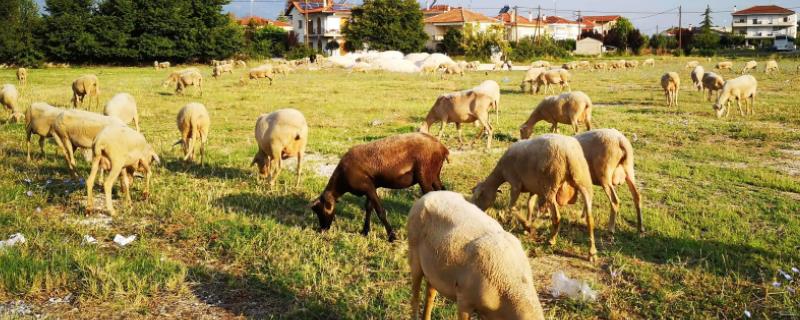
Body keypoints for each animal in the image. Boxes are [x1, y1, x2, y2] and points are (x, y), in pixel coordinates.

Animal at [310, 131, 450, 241]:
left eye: (321, 210)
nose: (322, 229)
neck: (342, 180)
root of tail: (442, 148)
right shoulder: (371, 187)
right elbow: (368, 208)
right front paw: (365, 231)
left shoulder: (367, 187)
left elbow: (380, 211)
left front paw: (392, 236)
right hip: (434, 175)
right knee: (443, 191)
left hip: (424, 176)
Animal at [410, 191, 548, 318]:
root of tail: (430, 194)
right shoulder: (464, 299)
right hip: (414, 256)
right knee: (415, 297)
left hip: (433, 268)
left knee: (430, 294)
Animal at [472, 134, 596, 262]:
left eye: (478, 197)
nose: (475, 210)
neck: (500, 172)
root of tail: (568, 154)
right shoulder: (533, 188)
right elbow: (530, 205)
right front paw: (527, 226)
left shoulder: (515, 183)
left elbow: (511, 207)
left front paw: (528, 226)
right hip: (583, 180)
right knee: (590, 218)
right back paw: (592, 253)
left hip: (550, 185)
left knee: (556, 216)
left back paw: (551, 240)